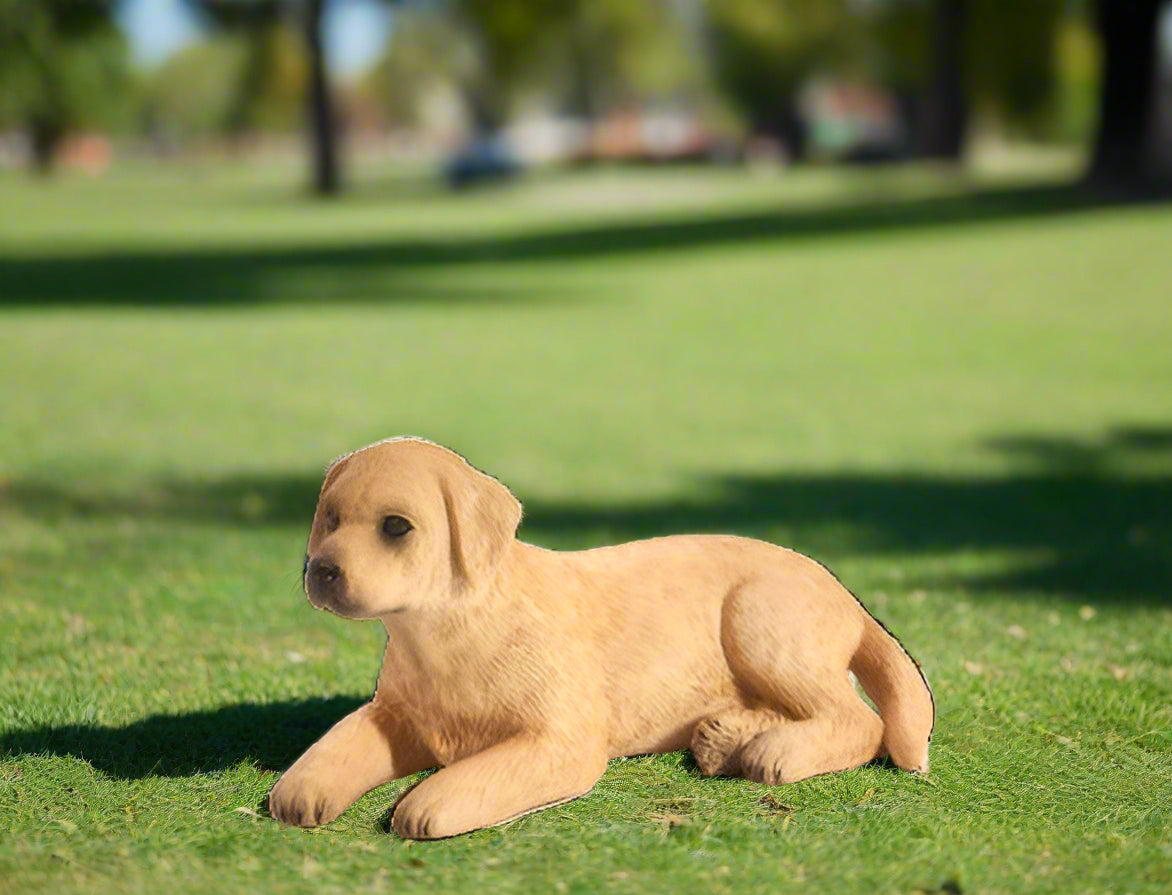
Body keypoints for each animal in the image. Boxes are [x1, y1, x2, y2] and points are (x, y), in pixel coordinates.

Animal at [268, 438, 932, 838]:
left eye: (396, 527)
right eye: (328, 518)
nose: (320, 571)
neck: (447, 630)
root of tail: (843, 592)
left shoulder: (559, 740)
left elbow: (471, 779)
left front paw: (425, 806)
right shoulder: (399, 716)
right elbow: (339, 740)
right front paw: (297, 790)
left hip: (759, 620)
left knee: (859, 719)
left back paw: (776, 751)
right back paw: (726, 737)